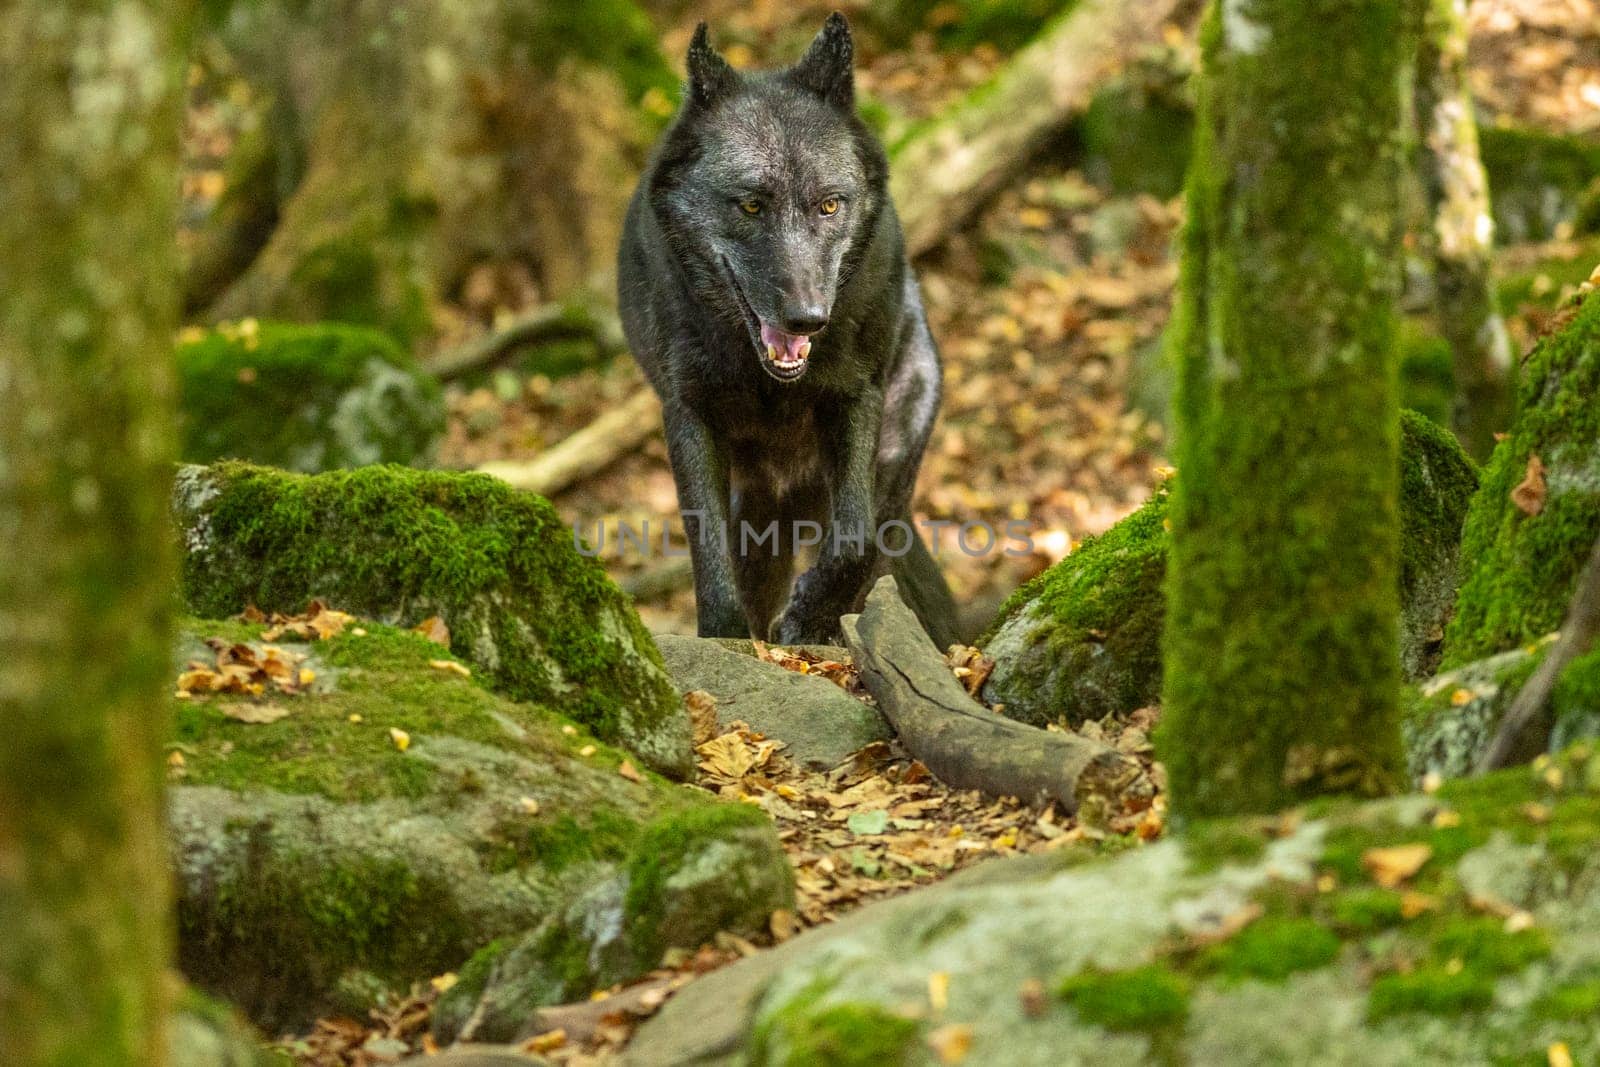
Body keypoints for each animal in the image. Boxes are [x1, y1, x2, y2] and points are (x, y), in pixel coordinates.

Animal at [617, 12, 953, 646]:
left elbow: (855, 536)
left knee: (878, 532)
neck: (770, 380)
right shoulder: (688, 414)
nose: (807, 318)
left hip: (900, 441)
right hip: (759, 511)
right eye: (751, 205)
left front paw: (810, 617)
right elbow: (707, 550)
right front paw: (725, 634)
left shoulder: (856, 395)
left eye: (829, 205)